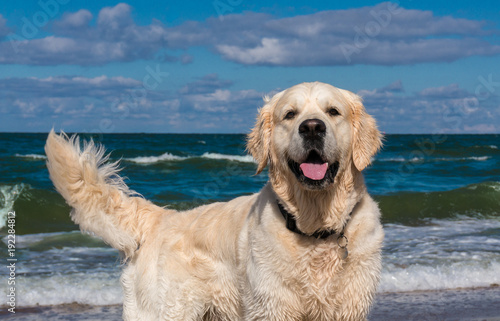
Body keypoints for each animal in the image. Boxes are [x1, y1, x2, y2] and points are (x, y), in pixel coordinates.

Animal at [46, 81, 382, 318]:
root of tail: (161, 217)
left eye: (333, 111)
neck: (313, 228)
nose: (312, 127)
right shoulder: (272, 306)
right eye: (290, 114)